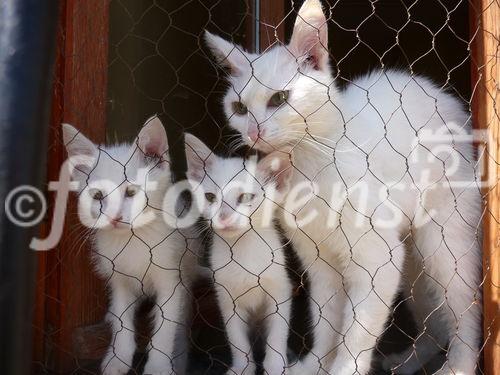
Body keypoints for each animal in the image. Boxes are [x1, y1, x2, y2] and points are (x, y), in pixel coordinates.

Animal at [62, 116, 195, 374]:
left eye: (131, 192)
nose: (114, 217)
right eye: (97, 196)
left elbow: (166, 326)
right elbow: (123, 319)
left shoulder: (171, 280)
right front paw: (118, 358)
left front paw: (158, 366)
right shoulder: (118, 277)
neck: (133, 238)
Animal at [186, 134, 294, 374]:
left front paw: (275, 365)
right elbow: (237, 340)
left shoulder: (280, 291)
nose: (224, 217)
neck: (243, 250)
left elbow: (277, 336)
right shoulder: (227, 300)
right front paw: (242, 367)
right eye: (210, 197)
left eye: (245, 197)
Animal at [204, 0, 484, 375]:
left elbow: (358, 329)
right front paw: (315, 364)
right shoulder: (319, 261)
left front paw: (344, 366)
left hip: (441, 243)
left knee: (465, 307)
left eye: (279, 98)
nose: (253, 132)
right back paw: (408, 360)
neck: (309, 168)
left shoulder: (378, 258)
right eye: (238, 107)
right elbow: (327, 320)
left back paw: (459, 364)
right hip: (412, 262)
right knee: (433, 322)